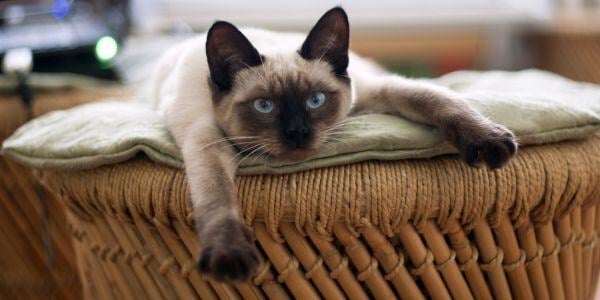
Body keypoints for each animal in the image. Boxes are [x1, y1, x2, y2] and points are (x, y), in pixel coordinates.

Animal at [151, 7, 516, 284]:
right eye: (264, 106)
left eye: (316, 100)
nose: (297, 132)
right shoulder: (206, 141)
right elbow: (217, 197)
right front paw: (229, 256)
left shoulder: (377, 91)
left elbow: (435, 99)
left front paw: (488, 140)